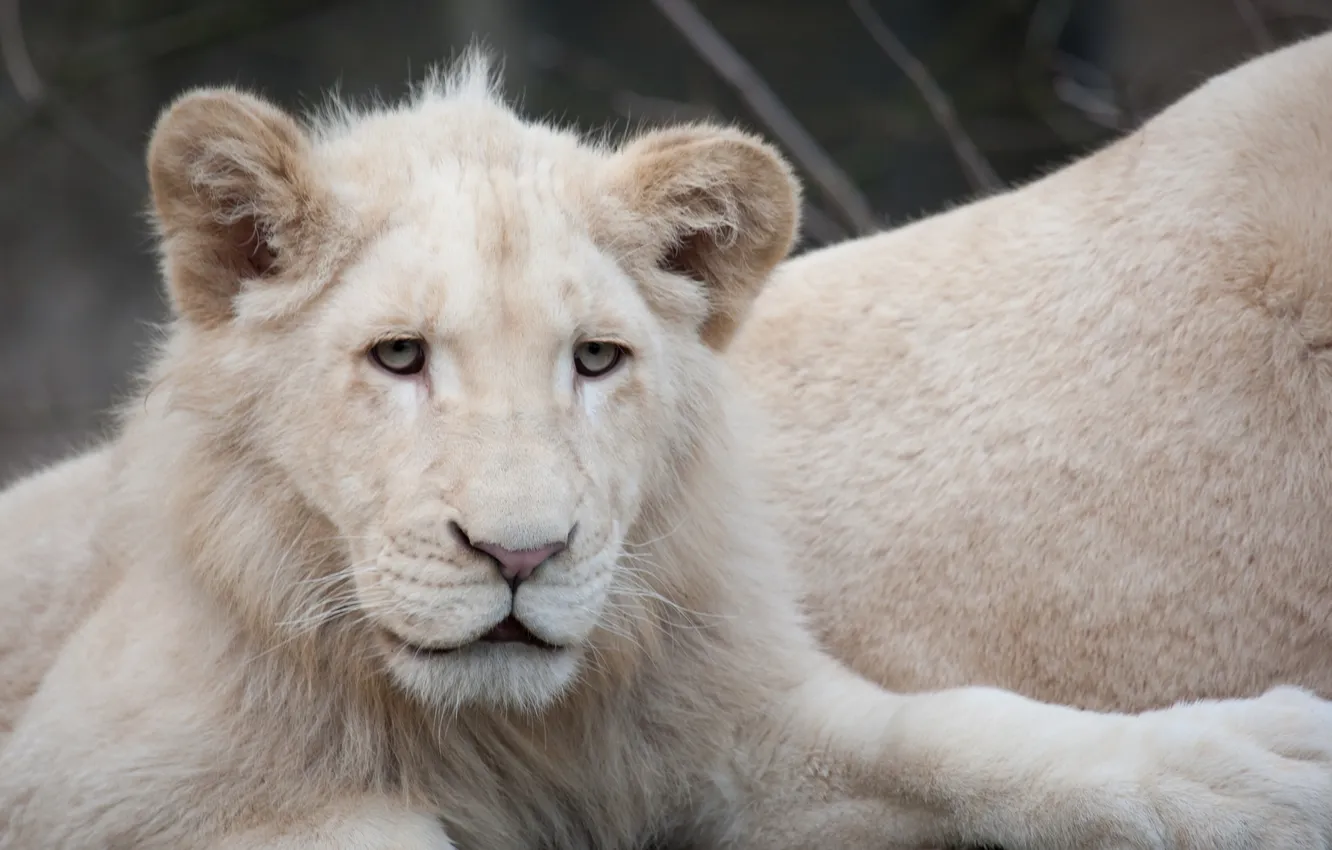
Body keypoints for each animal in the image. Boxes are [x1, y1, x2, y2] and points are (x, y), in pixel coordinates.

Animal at [4, 49, 1332, 850]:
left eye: (596, 360)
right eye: (398, 357)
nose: (522, 556)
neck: (498, 731)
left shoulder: (736, 725)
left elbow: (955, 731)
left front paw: (1251, 768)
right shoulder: (89, 780)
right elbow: (380, 826)